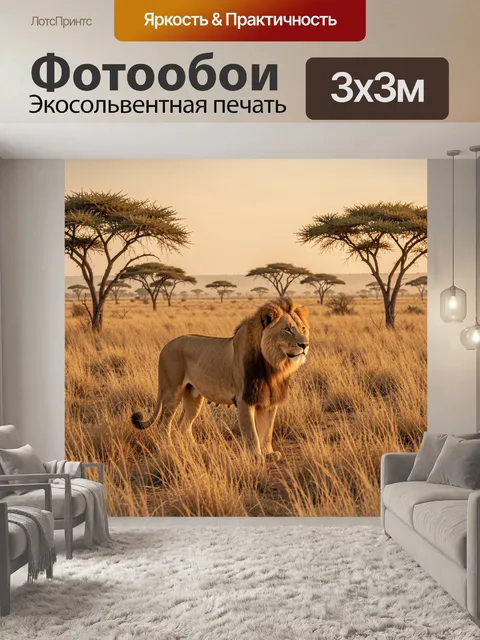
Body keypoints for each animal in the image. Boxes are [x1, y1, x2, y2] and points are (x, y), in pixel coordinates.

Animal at [131, 297, 310, 459]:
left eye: (302, 329)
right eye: (287, 329)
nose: (305, 345)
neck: (272, 365)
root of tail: (165, 347)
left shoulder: (269, 401)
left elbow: (267, 431)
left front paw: (269, 453)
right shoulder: (245, 398)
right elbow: (251, 432)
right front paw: (256, 456)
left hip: (193, 397)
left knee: (182, 424)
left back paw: (194, 448)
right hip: (171, 391)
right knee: (163, 424)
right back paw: (167, 449)